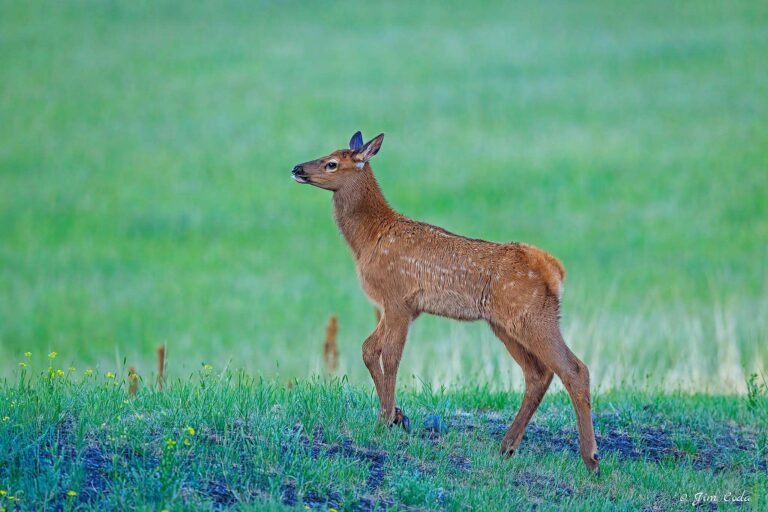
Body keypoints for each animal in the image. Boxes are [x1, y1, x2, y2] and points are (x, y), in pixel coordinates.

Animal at [291, 131, 600, 471]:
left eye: (332, 163)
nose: (297, 168)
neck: (369, 238)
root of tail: (555, 270)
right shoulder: (406, 307)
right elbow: (369, 349)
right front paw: (398, 416)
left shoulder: (398, 296)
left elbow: (391, 355)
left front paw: (385, 421)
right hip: (505, 324)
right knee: (538, 373)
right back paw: (507, 446)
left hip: (531, 316)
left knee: (574, 369)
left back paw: (591, 458)